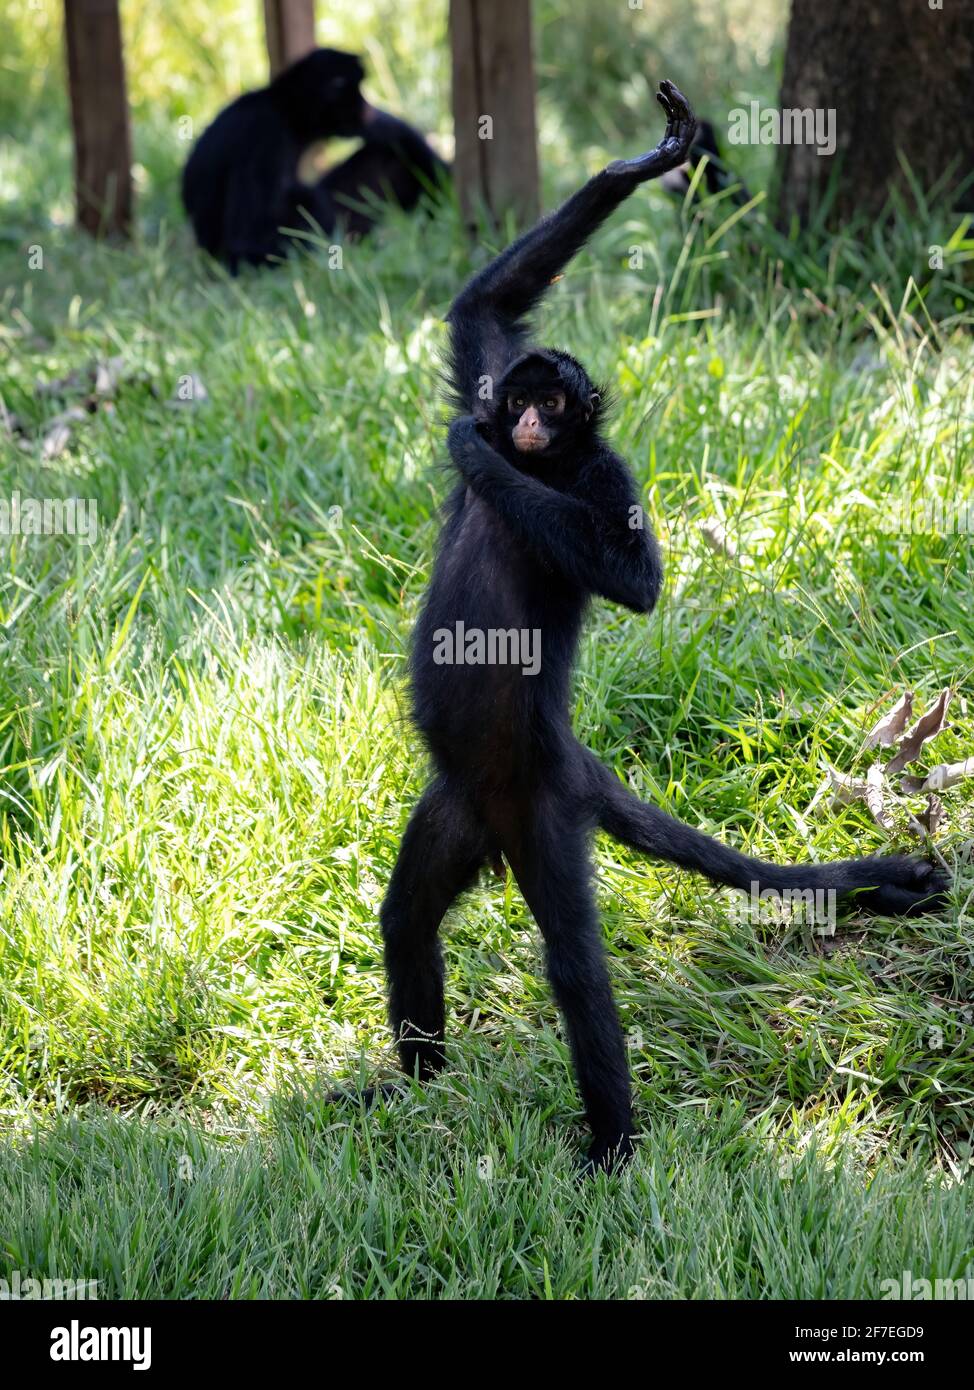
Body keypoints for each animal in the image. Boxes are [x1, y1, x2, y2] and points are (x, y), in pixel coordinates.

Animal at [379, 81, 948, 1172]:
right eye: (525, 393)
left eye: (554, 406)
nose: (520, 422)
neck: (555, 463)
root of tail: (569, 763)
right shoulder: (491, 366)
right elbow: (481, 311)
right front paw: (642, 163)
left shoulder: (603, 474)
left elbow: (638, 581)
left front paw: (478, 459)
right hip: (460, 806)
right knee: (405, 921)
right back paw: (418, 1095)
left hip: (540, 810)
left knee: (574, 969)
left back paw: (609, 1150)